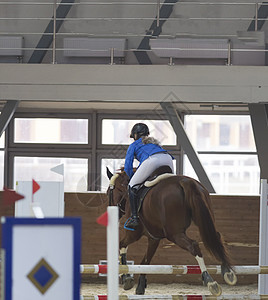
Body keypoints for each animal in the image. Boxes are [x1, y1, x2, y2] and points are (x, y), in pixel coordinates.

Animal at [106, 166, 237, 296]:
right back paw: (227, 272)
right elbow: (145, 261)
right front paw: (140, 286)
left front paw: (126, 278)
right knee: (216, 238)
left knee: (194, 245)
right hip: (203, 220)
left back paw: (210, 281)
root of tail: (186, 182)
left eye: (108, 193)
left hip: (174, 234)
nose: (113, 214)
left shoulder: (133, 233)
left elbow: (122, 245)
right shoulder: (153, 238)